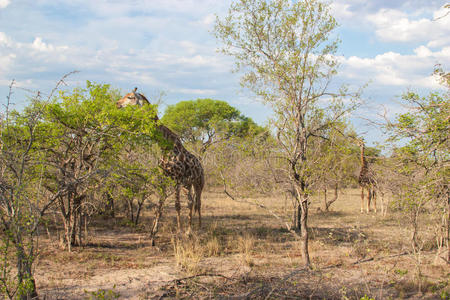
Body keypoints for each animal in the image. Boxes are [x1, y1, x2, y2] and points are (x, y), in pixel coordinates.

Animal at [117, 88, 207, 236]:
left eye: (130, 97)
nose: (117, 104)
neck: (165, 146)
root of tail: (201, 166)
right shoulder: (163, 177)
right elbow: (160, 204)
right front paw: (154, 231)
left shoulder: (176, 179)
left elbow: (177, 205)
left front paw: (179, 231)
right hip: (187, 184)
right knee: (190, 202)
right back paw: (189, 230)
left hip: (199, 183)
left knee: (198, 203)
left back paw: (197, 229)